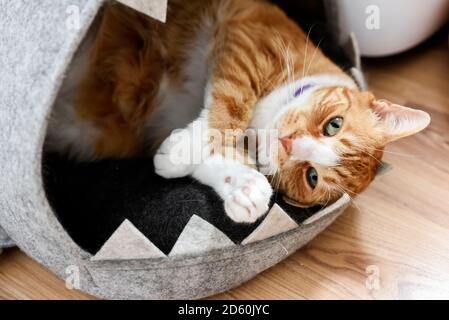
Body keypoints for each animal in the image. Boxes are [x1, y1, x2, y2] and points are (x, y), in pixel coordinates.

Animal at [47, 0, 428, 224]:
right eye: (334, 125)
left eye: (312, 177)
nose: (289, 143)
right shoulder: (248, 39)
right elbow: (232, 106)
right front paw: (185, 150)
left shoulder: (159, 128)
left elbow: (213, 159)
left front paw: (245, 188)